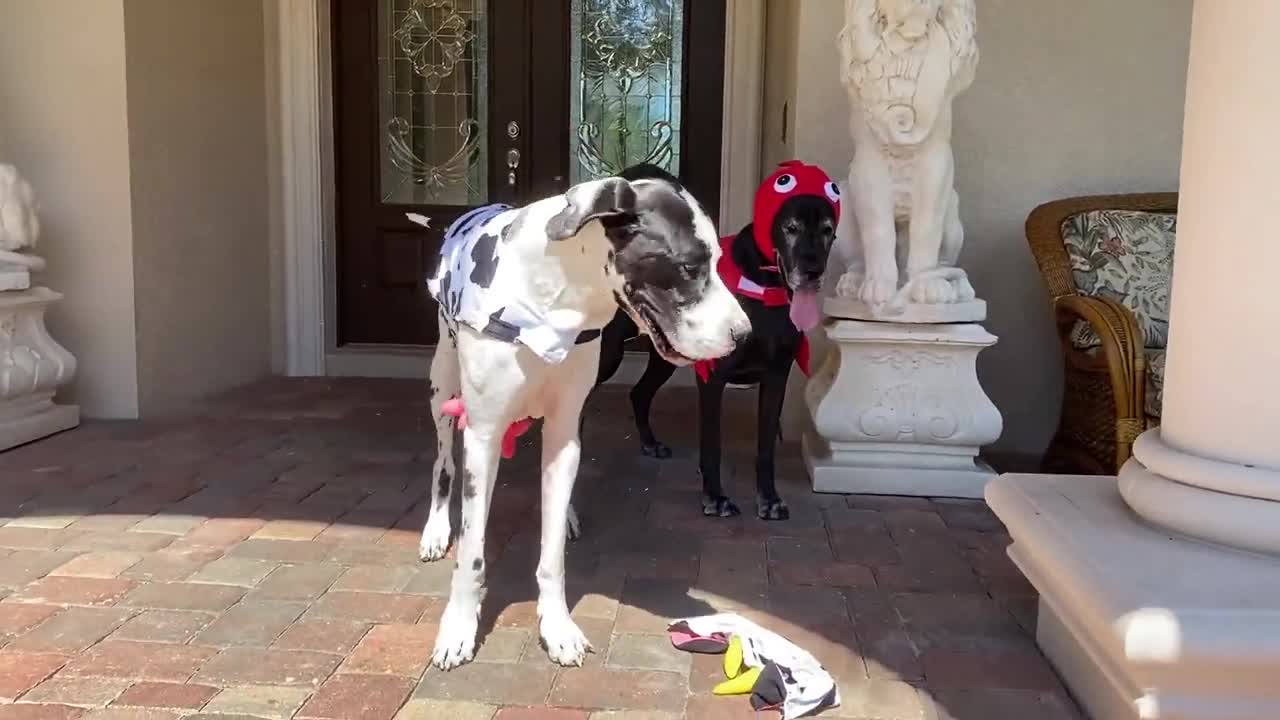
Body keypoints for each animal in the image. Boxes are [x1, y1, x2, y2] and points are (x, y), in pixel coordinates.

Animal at [414, 174, 747, 666]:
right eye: (689, 267)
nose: (745, 335)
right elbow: (472, 554)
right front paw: (458, 627)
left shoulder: (563, 431)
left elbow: (551, 554)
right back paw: (436, 530)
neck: (556, 300)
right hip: (443, 385)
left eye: (720, 262)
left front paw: (557, 627)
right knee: (442, 463)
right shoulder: (483, 437)